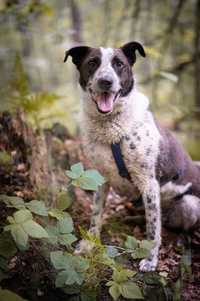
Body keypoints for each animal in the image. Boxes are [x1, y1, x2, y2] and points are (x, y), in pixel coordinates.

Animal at [64, 41, 200, 270]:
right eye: (92, 62)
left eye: (119, 64)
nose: (106, 81)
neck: (112, 127)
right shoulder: (102, 178)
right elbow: (95, 215)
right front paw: (89, 245)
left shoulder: (150, 184)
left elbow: (153, 231)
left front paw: (151, 261)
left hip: (190, 205)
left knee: (171, 225)